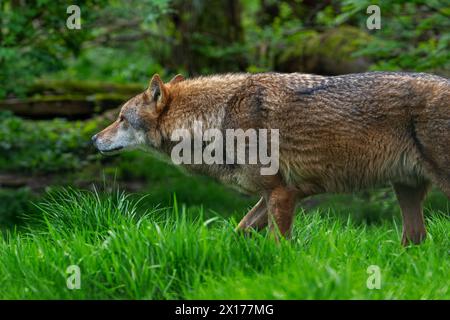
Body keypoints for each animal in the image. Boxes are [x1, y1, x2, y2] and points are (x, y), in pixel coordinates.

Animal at [92, 72, 450, 245]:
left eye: (121, 118)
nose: (93, 139)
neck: (216, 119)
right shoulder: (273, 195)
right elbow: (238, 231)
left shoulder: (281, 194)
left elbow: (279, 246)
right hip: (406, 191)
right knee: (416, 239)